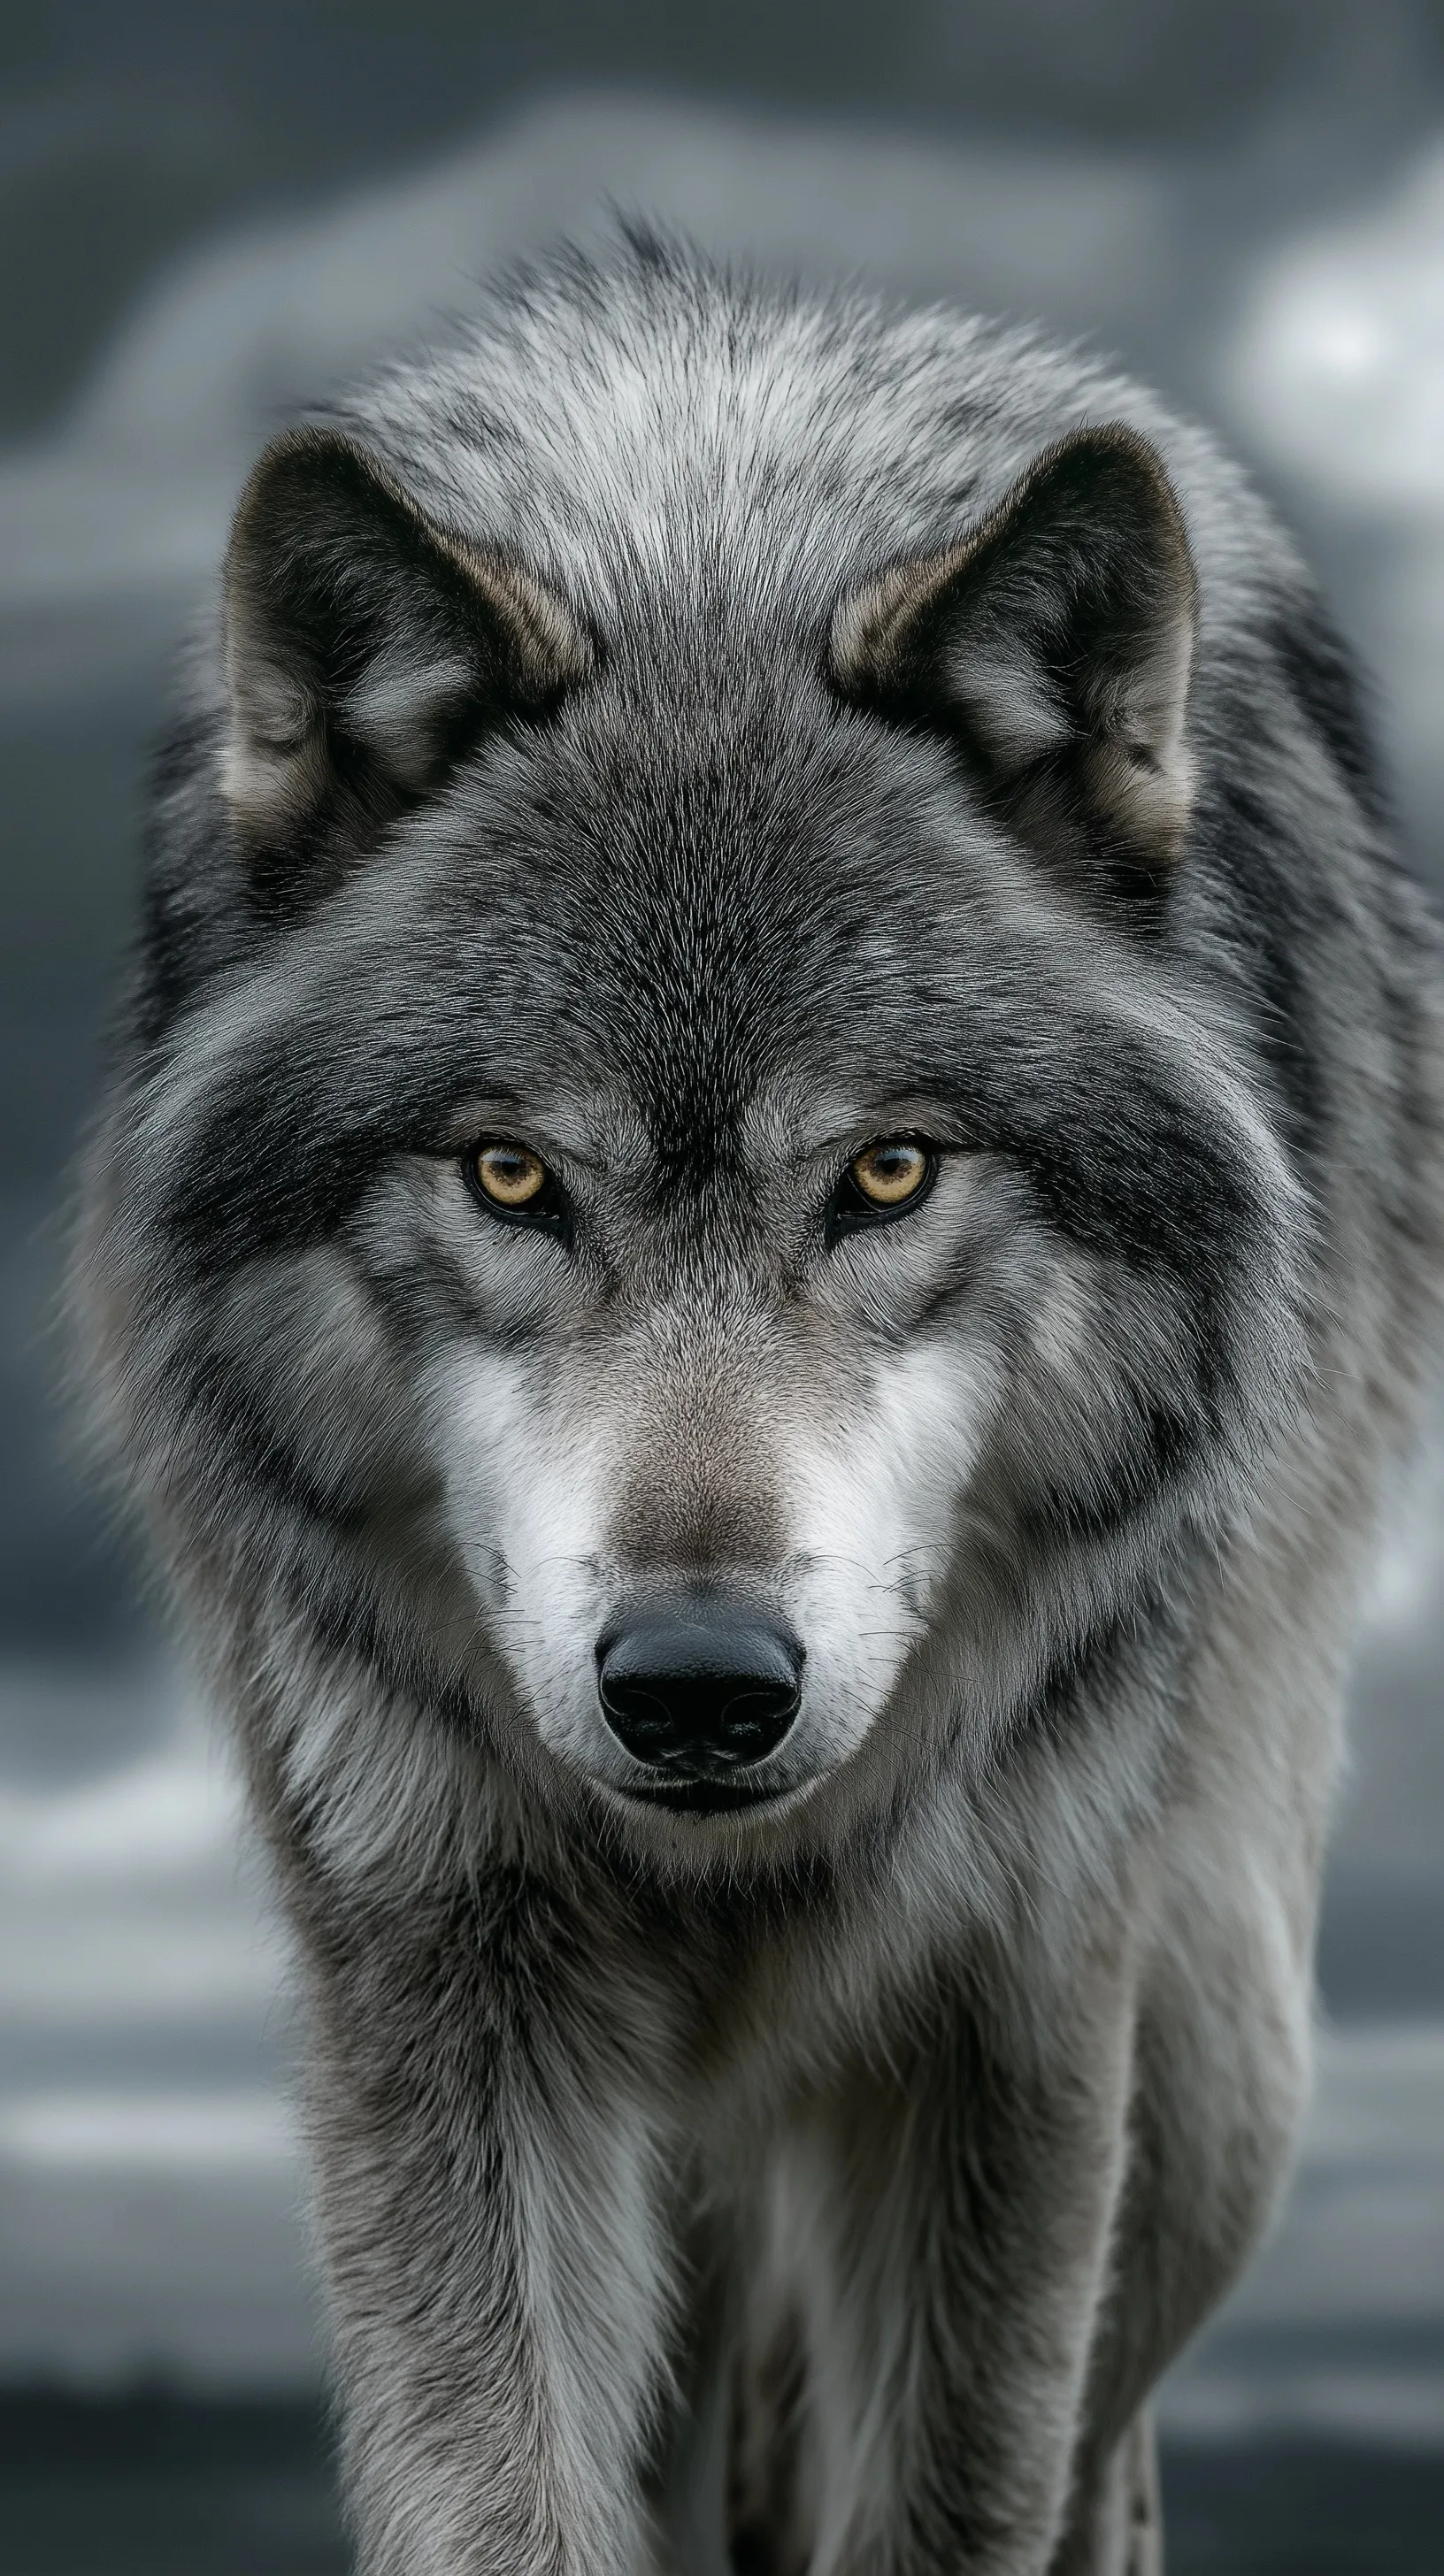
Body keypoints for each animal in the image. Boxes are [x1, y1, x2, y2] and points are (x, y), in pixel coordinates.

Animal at [76, 239, 1444, 2575]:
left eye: (886, 1171)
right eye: (509, 1174)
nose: (700, 1685)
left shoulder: (1013, 2010)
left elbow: (964, 2497)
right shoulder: (440, 1976)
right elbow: (499, 2494)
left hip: (1215, 2077)